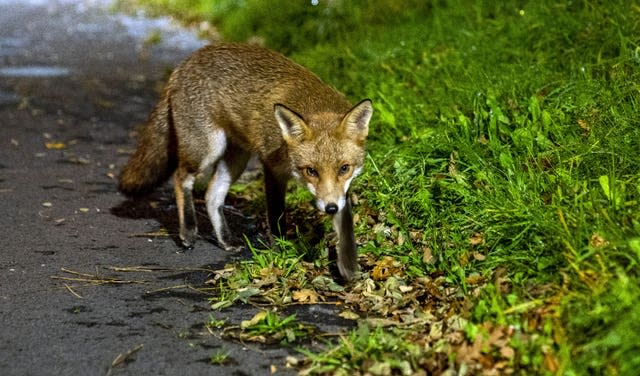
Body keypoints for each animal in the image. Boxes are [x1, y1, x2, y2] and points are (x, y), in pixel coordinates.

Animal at [117, 42, 372, 280]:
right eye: (311, 171)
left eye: (344, 168)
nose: (330, 208)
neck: (315, 105)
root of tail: (186, 62)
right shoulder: (272, 167)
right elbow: (277, 215)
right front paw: (281, 248)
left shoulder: (341, 190)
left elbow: (346, 224)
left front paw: (349, 265)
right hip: (208, 148)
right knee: (181, 178)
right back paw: (189, 231)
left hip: (236, 158)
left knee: (211, 195)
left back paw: (225, 241)